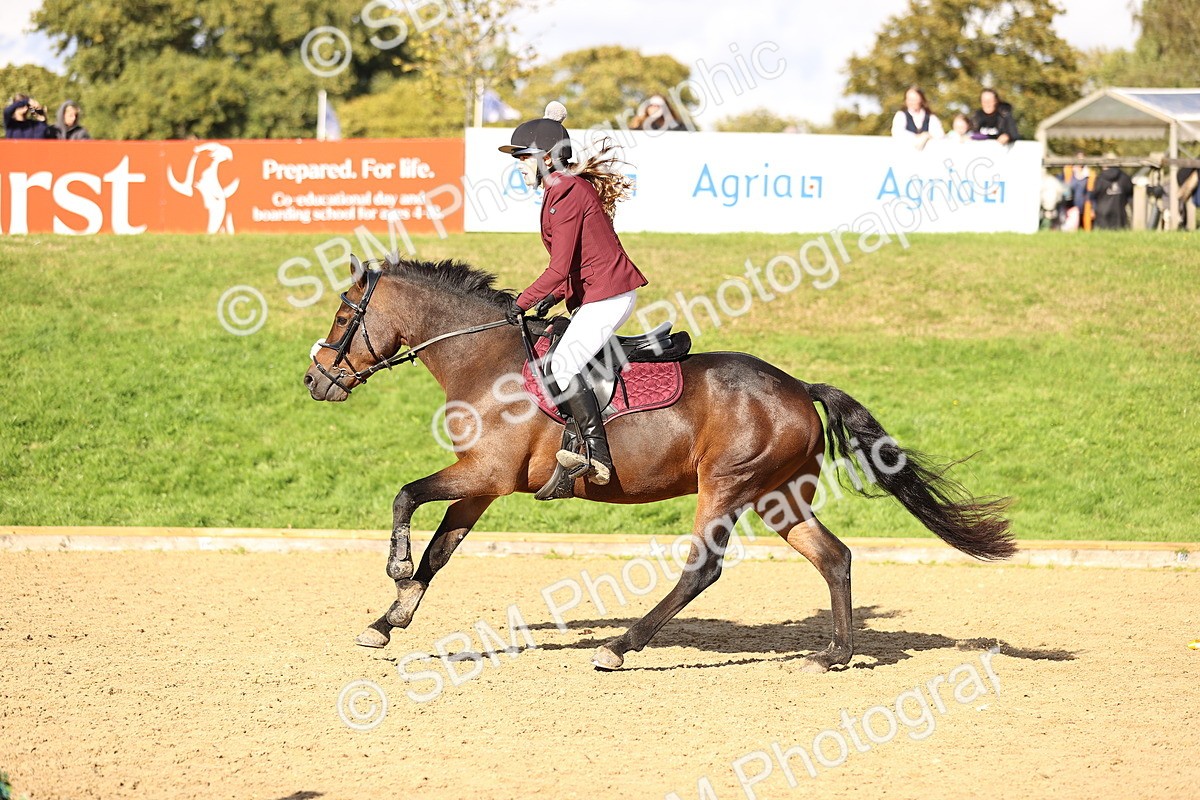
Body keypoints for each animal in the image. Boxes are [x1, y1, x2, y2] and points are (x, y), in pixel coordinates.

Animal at [303, 254, 1014, 672]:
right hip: (779, 497)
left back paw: (622, 648)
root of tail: (796, 386)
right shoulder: (482, 485)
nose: (315, 380)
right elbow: (440, 551)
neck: (485, 360)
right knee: (833, 557)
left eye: (342, 314)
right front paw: (388, 622)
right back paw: (835, 654)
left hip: (726, 485)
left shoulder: (485, 474)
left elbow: (404, 495)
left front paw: (393, 573)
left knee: (703, 569)